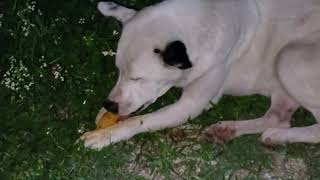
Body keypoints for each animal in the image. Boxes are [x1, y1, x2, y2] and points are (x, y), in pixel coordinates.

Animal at [81, 0, 320, 150]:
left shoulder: (190, 105)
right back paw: (228, 130)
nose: (110, 105)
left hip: (288, 57)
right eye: (120, 71)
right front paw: (104, 114)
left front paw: (105, 135)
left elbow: (139, 120)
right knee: (278, 118)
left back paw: (280, 136)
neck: (205, 22)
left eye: (138, 78)